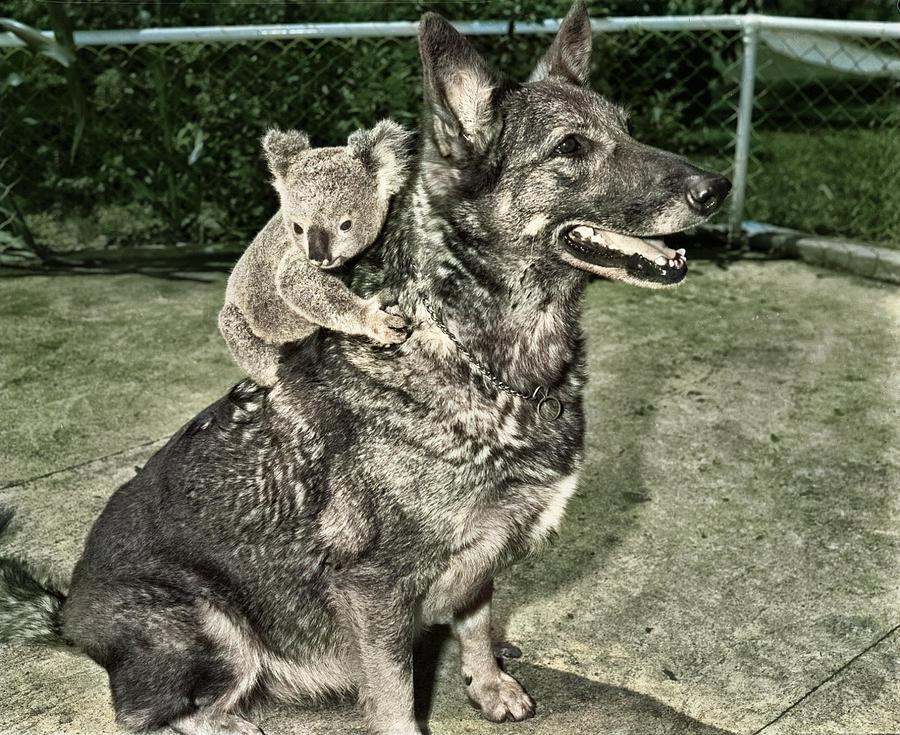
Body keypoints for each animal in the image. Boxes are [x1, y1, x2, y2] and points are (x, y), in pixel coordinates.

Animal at [0, 2, 728, 732]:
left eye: (628, 130)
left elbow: (477, 619)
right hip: (212, 623)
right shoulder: (374, 591)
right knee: (147, 709)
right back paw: (228, 719)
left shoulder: (479, 555)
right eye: (571, 148)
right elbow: (395, 692)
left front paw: (488, 681)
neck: (477, 356)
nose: (716, 188)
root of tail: (68, 615)